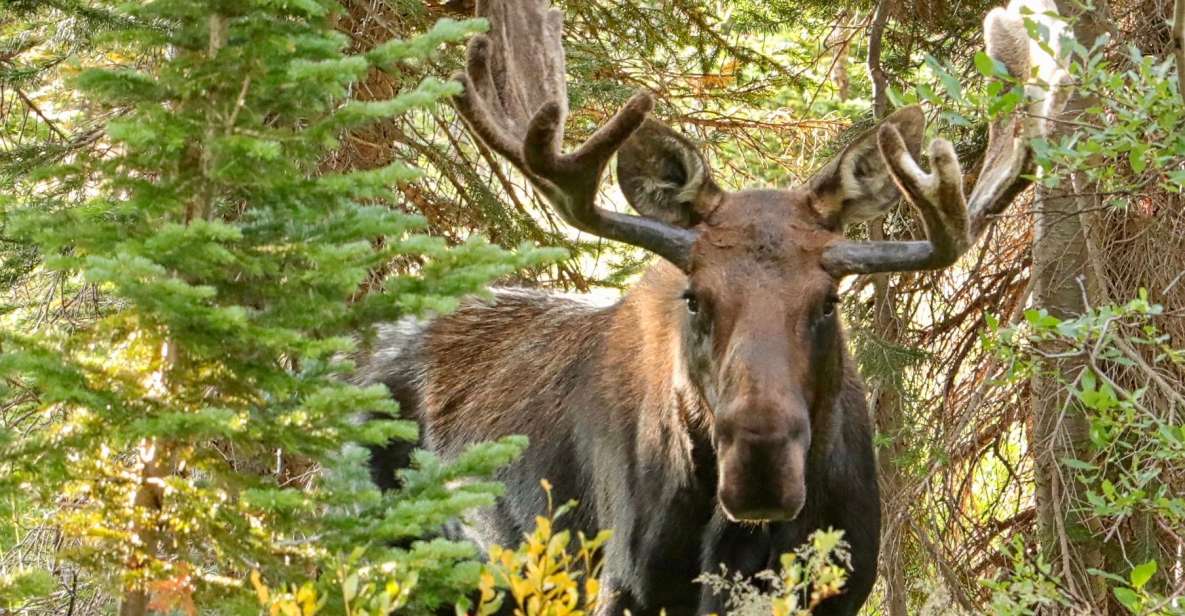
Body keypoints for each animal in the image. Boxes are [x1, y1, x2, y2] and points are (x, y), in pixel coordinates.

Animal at [357, 2, 1066, 611]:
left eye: (828, 301)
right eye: (695, 299)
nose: (760, 468)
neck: (745, 547)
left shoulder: (847, 587)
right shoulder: (621, 585)